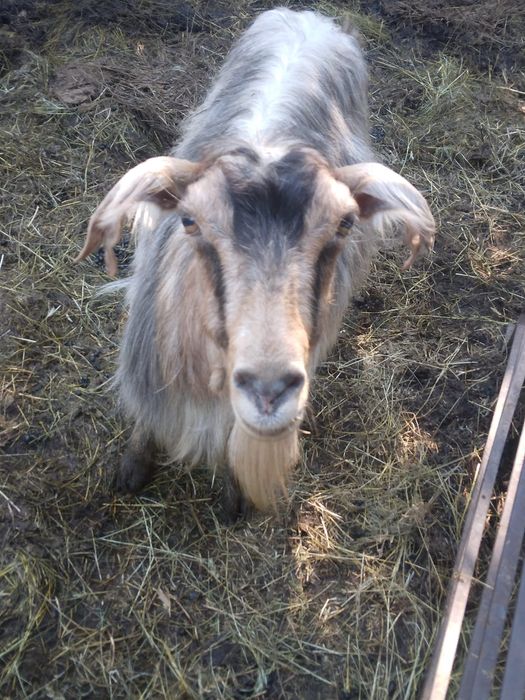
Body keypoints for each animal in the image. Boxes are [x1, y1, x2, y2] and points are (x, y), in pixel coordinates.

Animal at [76, 9, 435, 517]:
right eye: (189, 220)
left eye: (345, 223)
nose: (268, 390)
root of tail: (311, 16)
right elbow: (145, 424)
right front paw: (132, 470)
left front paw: (232, 499)